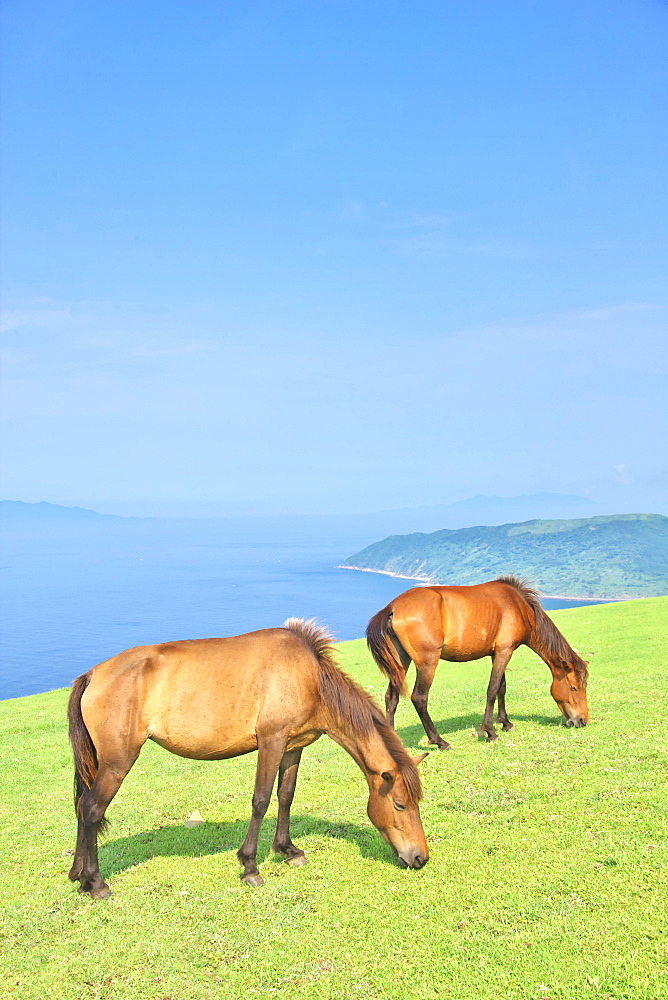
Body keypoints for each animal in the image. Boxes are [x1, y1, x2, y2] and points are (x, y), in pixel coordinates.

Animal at [65, 616, 426, 900]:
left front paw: (288, 850)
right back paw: (96, 882)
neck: (308, 677)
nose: (420, 858)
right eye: (400, 805)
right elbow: (261, 800)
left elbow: (286, 796)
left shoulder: (293, 746)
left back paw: (79, 877)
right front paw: (250, 866)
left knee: (82, 807)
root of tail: (92, 675)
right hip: (117, 762)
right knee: (92, 809)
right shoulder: (271, 742)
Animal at [366, 576, 588, 748]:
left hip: (400, 662)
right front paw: (489, 731)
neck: (519, 606)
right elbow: (492, 689)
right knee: (419, 698)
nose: (582, 720)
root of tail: (393, 607)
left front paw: (505, 722)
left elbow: (501, 688)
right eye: (574, 687)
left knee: (391, 698)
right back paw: (440, 741)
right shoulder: (505, 651)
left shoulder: (497, 653)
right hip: (427, 662)